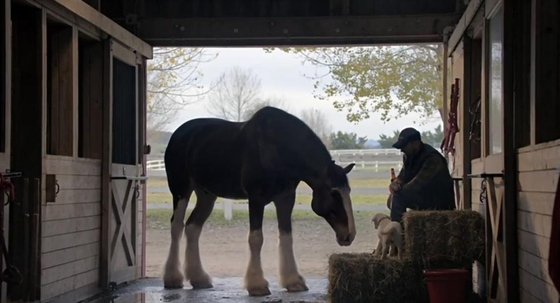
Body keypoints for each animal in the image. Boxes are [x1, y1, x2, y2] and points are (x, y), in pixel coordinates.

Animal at [161, 106, 354, 296]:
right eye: (334, 193)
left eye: (348, 191)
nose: (349, 235)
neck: (277, 148)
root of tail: (178, 134)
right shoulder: (255, 199)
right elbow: (256, 238)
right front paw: (257, 285)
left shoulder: (286, 199)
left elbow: (287, 237)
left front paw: (293, 281)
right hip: (181, 191)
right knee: (176, 226)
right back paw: (173, 278)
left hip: (206, 195)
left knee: (192, 228)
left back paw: (199, 278)